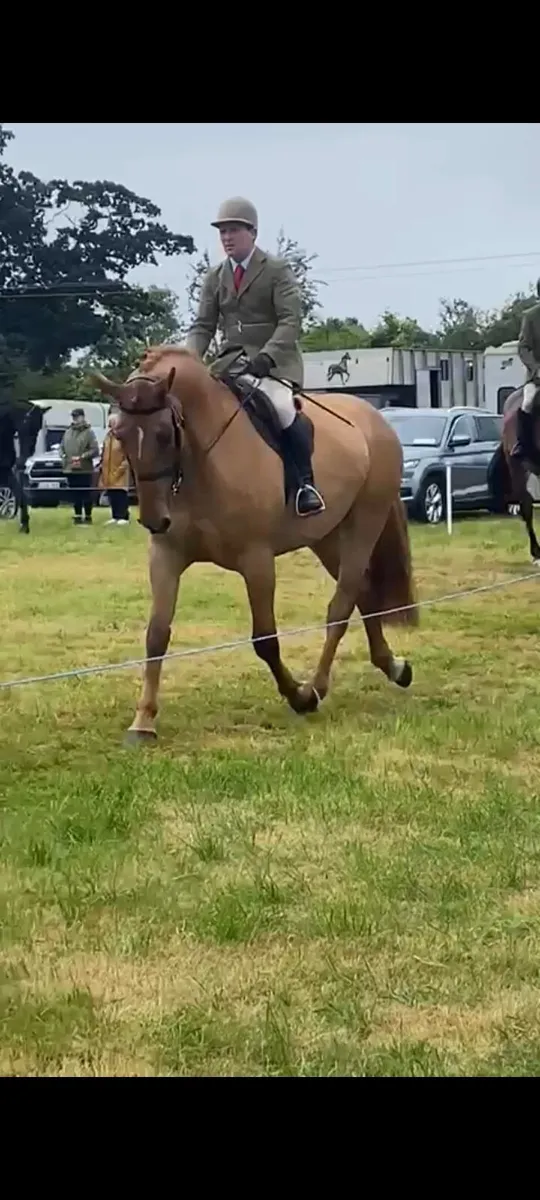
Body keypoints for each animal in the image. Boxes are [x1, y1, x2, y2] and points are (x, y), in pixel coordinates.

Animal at [0, 401, 49, 534]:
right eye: (27, 424)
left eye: (38, 428)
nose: (22, 460)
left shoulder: (6, 472)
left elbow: (20, 495)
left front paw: (24, 525)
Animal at [91, 345, 419, 745]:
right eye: (120, 434)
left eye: (165, 434)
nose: (154, 519)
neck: (203, 464)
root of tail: (376, 419)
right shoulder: (166, 556)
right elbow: (156, 635)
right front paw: (143, 722)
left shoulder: (257, 560)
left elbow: (265, 640)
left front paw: (299, 696)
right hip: (326, 537)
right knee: (364, 593)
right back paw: (394, 667)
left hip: (363, 524)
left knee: (340, 607)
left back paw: (318, 687)